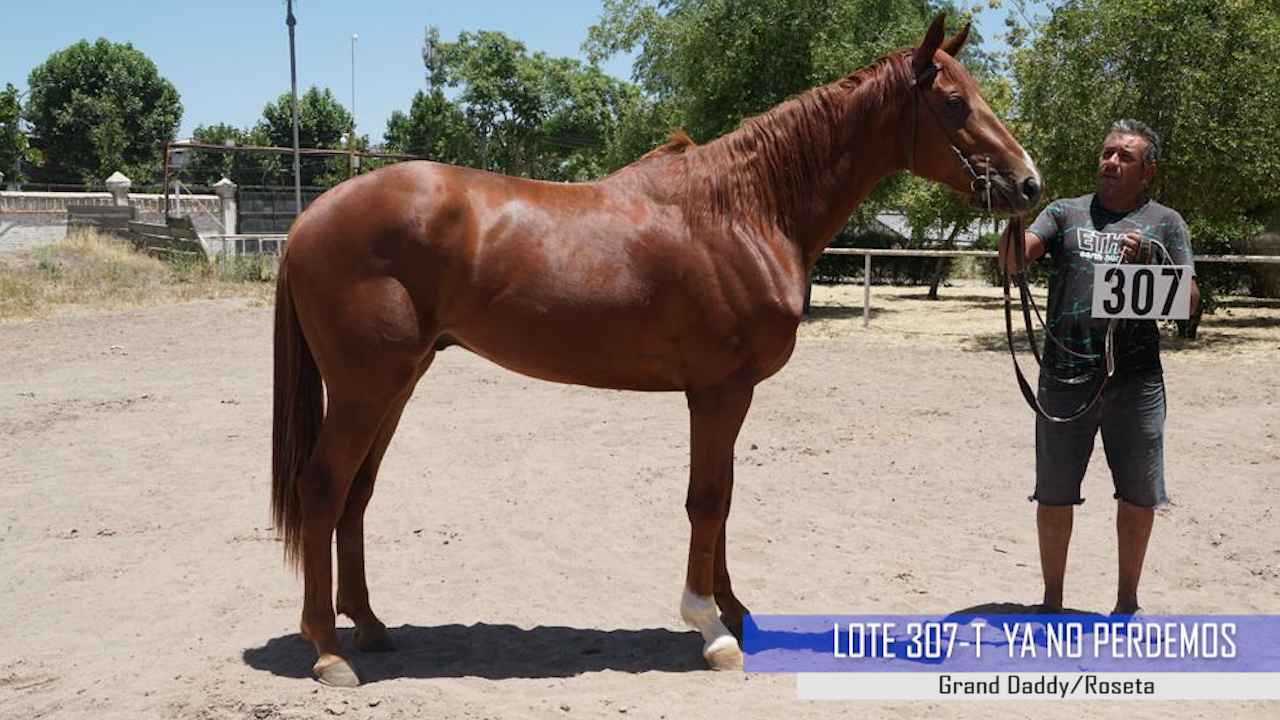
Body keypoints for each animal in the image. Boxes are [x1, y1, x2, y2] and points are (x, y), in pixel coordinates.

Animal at [271, 14, 1042, 687]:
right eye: (953, 103)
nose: (1028, 184)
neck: (744, 212)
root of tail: (311, 219)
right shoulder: (719, 389)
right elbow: (706, 501)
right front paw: (711, 628)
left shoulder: (732, 393)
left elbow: (724, 498)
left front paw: (735, 611)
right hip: (367, 388)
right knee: (323, 487)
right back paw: (328, 650)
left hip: (399, 383)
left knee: (357, 493)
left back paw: (370, 626)